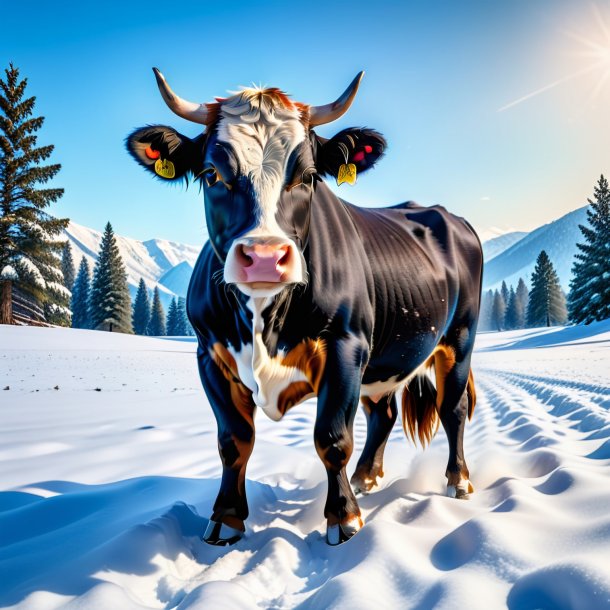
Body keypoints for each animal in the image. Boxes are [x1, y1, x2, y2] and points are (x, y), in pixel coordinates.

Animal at [127, 67, 480, 548]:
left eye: (309, 176)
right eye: (212, 174)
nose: (263, 257)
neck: (264, 322)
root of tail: (444, 214)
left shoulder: (346, 346)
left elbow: (332, 437)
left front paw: (343, 520)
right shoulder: (209, 354)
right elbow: (233, 440)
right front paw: (226, 519)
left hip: (458, 338)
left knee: (453, 408)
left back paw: (457, 480)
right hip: (387, 356)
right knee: (383, 413)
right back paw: (366, 477)